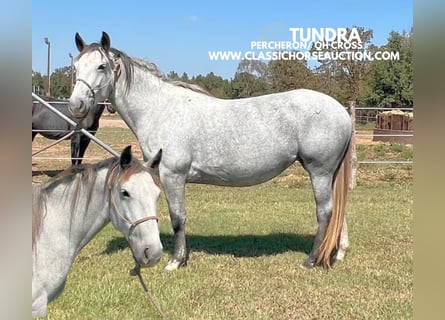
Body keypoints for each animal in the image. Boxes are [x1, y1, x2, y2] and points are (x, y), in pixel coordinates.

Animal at [67, 32, 350, 272]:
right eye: (76, 67)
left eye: (101, 66)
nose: (76, 105)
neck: (160, 109)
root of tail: (342, 111)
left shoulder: (172, 175)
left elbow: (177, 217)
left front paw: (176, 261)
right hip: (330, 174)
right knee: (339, 210)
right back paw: (338, 253)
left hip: (319, 172)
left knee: (325, 211)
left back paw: (311, 261)